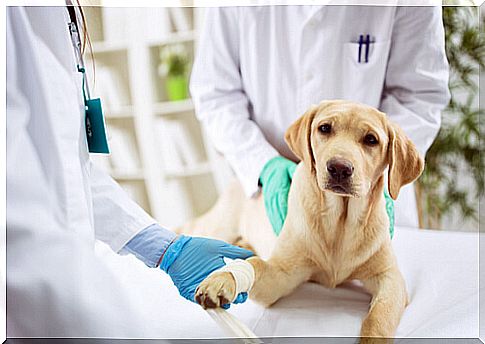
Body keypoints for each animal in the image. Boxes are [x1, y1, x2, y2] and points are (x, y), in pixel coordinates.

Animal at [183, 99, 422, 338]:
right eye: (325, 128)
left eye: (371, 139)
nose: (339, 168)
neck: (340, 222)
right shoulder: (281, 275)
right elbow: (254, 264)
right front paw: (222, 279)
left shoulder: (390, 277)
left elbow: (379, 318)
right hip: (216, 227)